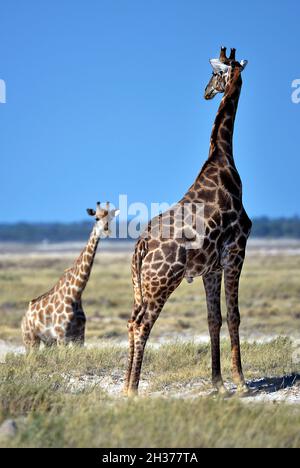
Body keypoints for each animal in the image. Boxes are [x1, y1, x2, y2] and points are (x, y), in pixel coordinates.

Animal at [21, 203, 119, 350]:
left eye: (111, 218)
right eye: (96, 218)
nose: (106, 231)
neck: (76, 294)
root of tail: (24, 316)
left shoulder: (80, 336)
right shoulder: (62, 336)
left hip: (48, 341)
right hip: (30, 339)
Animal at [123, 46, 252, 394]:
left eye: (215, 74)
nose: (206, 91)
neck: (223, 159)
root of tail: (141, 246)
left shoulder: (212, 267)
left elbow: (214, 319)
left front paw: (218, 383)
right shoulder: (236, 251)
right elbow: (234, 316)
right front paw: (241, 383)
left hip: (141, 285)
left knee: (131, 320)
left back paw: (126, 385)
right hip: (162, 282)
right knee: (142, 324)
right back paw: (133, 390)